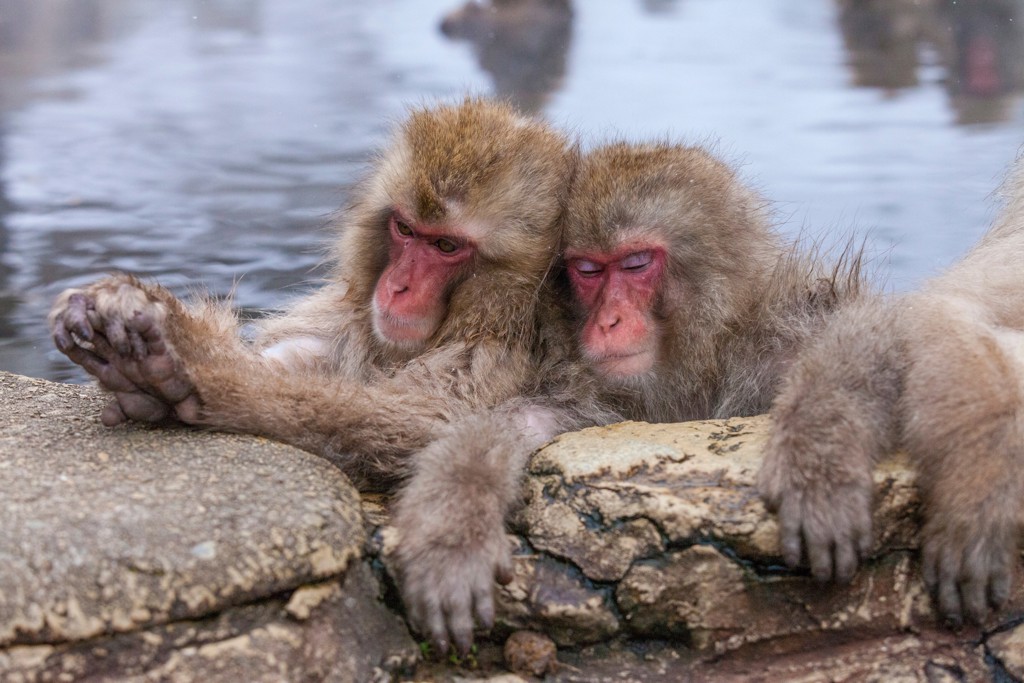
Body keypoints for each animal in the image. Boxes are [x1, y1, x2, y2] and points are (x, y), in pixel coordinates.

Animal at [48, 98, 579, 655]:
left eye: (447, 246)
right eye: (405, 230)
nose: (397, 287)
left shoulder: (500, 356)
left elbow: (431, 422)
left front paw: (199, 368)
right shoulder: (351, 322)